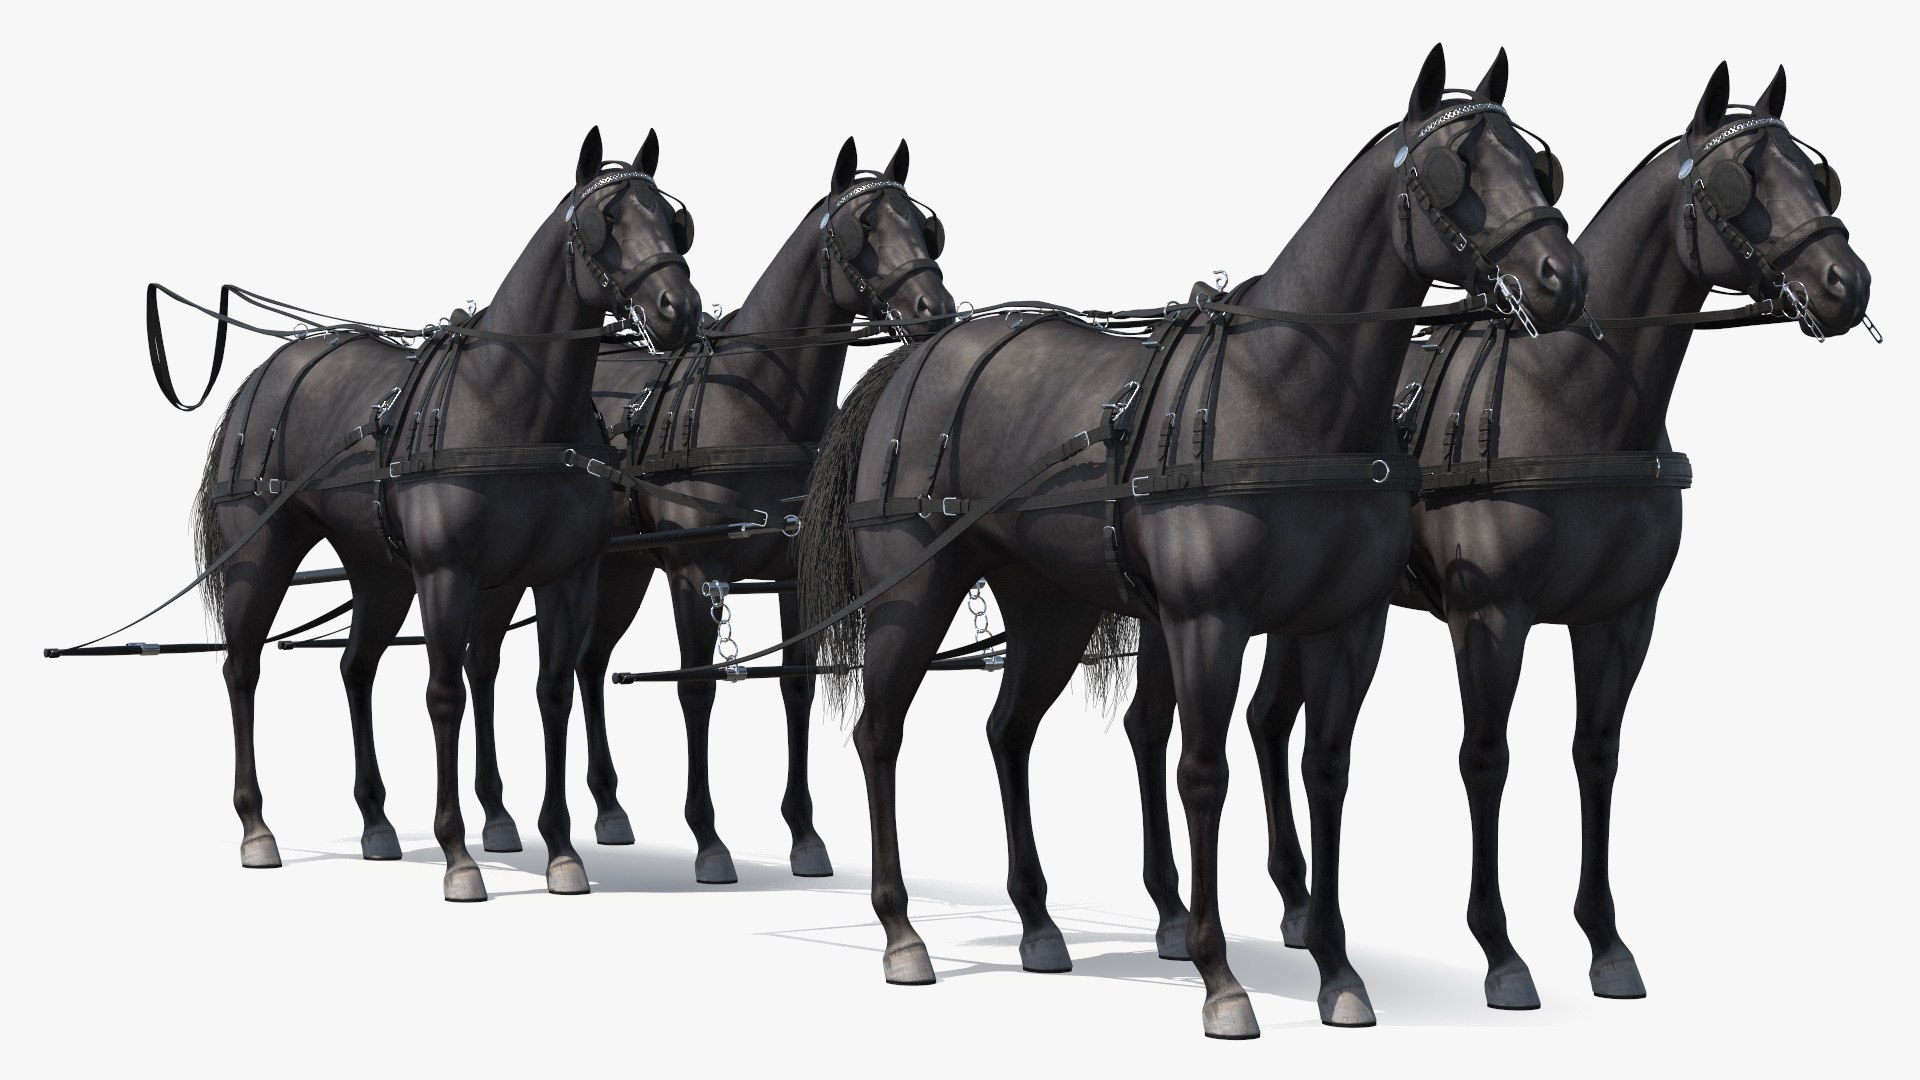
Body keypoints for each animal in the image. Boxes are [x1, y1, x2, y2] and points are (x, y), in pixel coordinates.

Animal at [192, 127, 701, 902]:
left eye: (673, 220)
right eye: (604, 222)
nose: (680, 309)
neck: (510, 405)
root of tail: (262, 376)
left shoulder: (566, 577)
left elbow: (552, 692)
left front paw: (561, 850)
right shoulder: (447, 575)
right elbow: (444, 696)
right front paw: (459, 854)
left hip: (379, 572)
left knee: (355, 668)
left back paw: (375, 823)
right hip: (263, 555)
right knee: (242, 668)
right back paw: (257, 827)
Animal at [459, 137, 956, 883]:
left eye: (924, 227)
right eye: (862, 229)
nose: (936, 307)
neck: (753, 403)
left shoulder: (789, 574)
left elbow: (796, 686)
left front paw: (805, 834)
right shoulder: (696, 574)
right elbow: (697, 689)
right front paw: (709, 839)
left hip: (621, 571)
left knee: (587, 663)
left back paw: (607, 806)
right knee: (485, 660)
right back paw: (496, 813)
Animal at [796, 45, 1586, 1038]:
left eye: (1536, 165)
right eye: (1456, 168)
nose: (1564, 279)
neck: (1287, 392)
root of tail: (915, 354)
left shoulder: (1345, 626)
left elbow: (1326, 771)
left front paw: (1337, 971)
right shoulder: (1209, 621)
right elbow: (1202, 772)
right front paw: (1220, 979)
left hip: (1050, 607)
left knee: (1008, 731)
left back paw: (1038, 924)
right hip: (913, 589)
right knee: (880, 733)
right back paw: (902, 933)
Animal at [1149, 61, 1874, 1010]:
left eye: (1816, 175)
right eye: (1738, 182)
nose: (1846, 282)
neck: (1566, 394)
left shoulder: (1621, 618)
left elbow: (1596, 755)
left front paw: (1607, 943)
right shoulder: (1491, 614)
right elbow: (1484, 758)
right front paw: (1501, 950)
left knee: (1270, 721)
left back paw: (1299, 906)